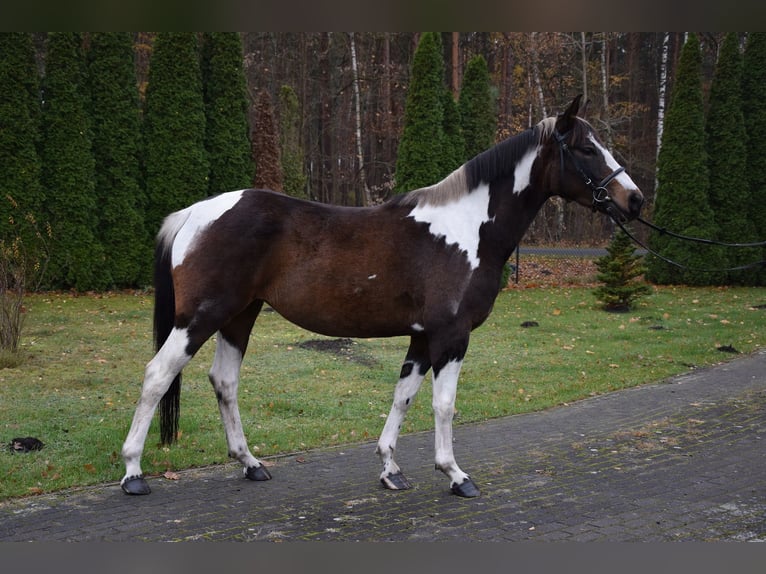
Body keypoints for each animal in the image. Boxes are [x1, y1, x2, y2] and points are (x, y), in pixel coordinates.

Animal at [120, 95, 643, 498]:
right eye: (586, 148)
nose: (634, 199)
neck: (466, 230)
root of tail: (195, 212)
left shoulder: (421, 338)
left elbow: (404, 396)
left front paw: (391, 469)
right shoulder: (451, 336)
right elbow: (444, 405)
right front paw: (456, 475)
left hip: (239, 316)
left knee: (224, 382)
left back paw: (250, 464)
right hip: (199, 318)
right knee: (157, 376)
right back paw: (133, 472)